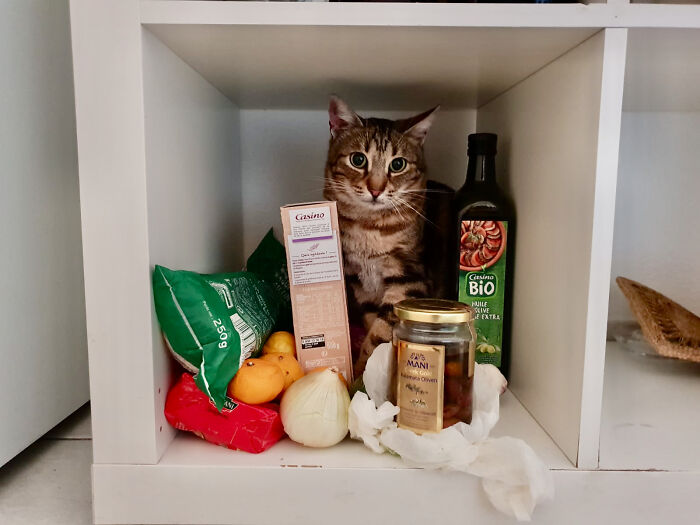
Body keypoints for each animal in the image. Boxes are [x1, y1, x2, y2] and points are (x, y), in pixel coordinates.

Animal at [322, 94, 438, 372]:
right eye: (358, 160)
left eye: (397, 164)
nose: (376, 190)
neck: (368, 227)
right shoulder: (359, 282)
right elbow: (372, 323)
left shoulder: (408, 279)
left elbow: (381, 335)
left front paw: (361, 376)